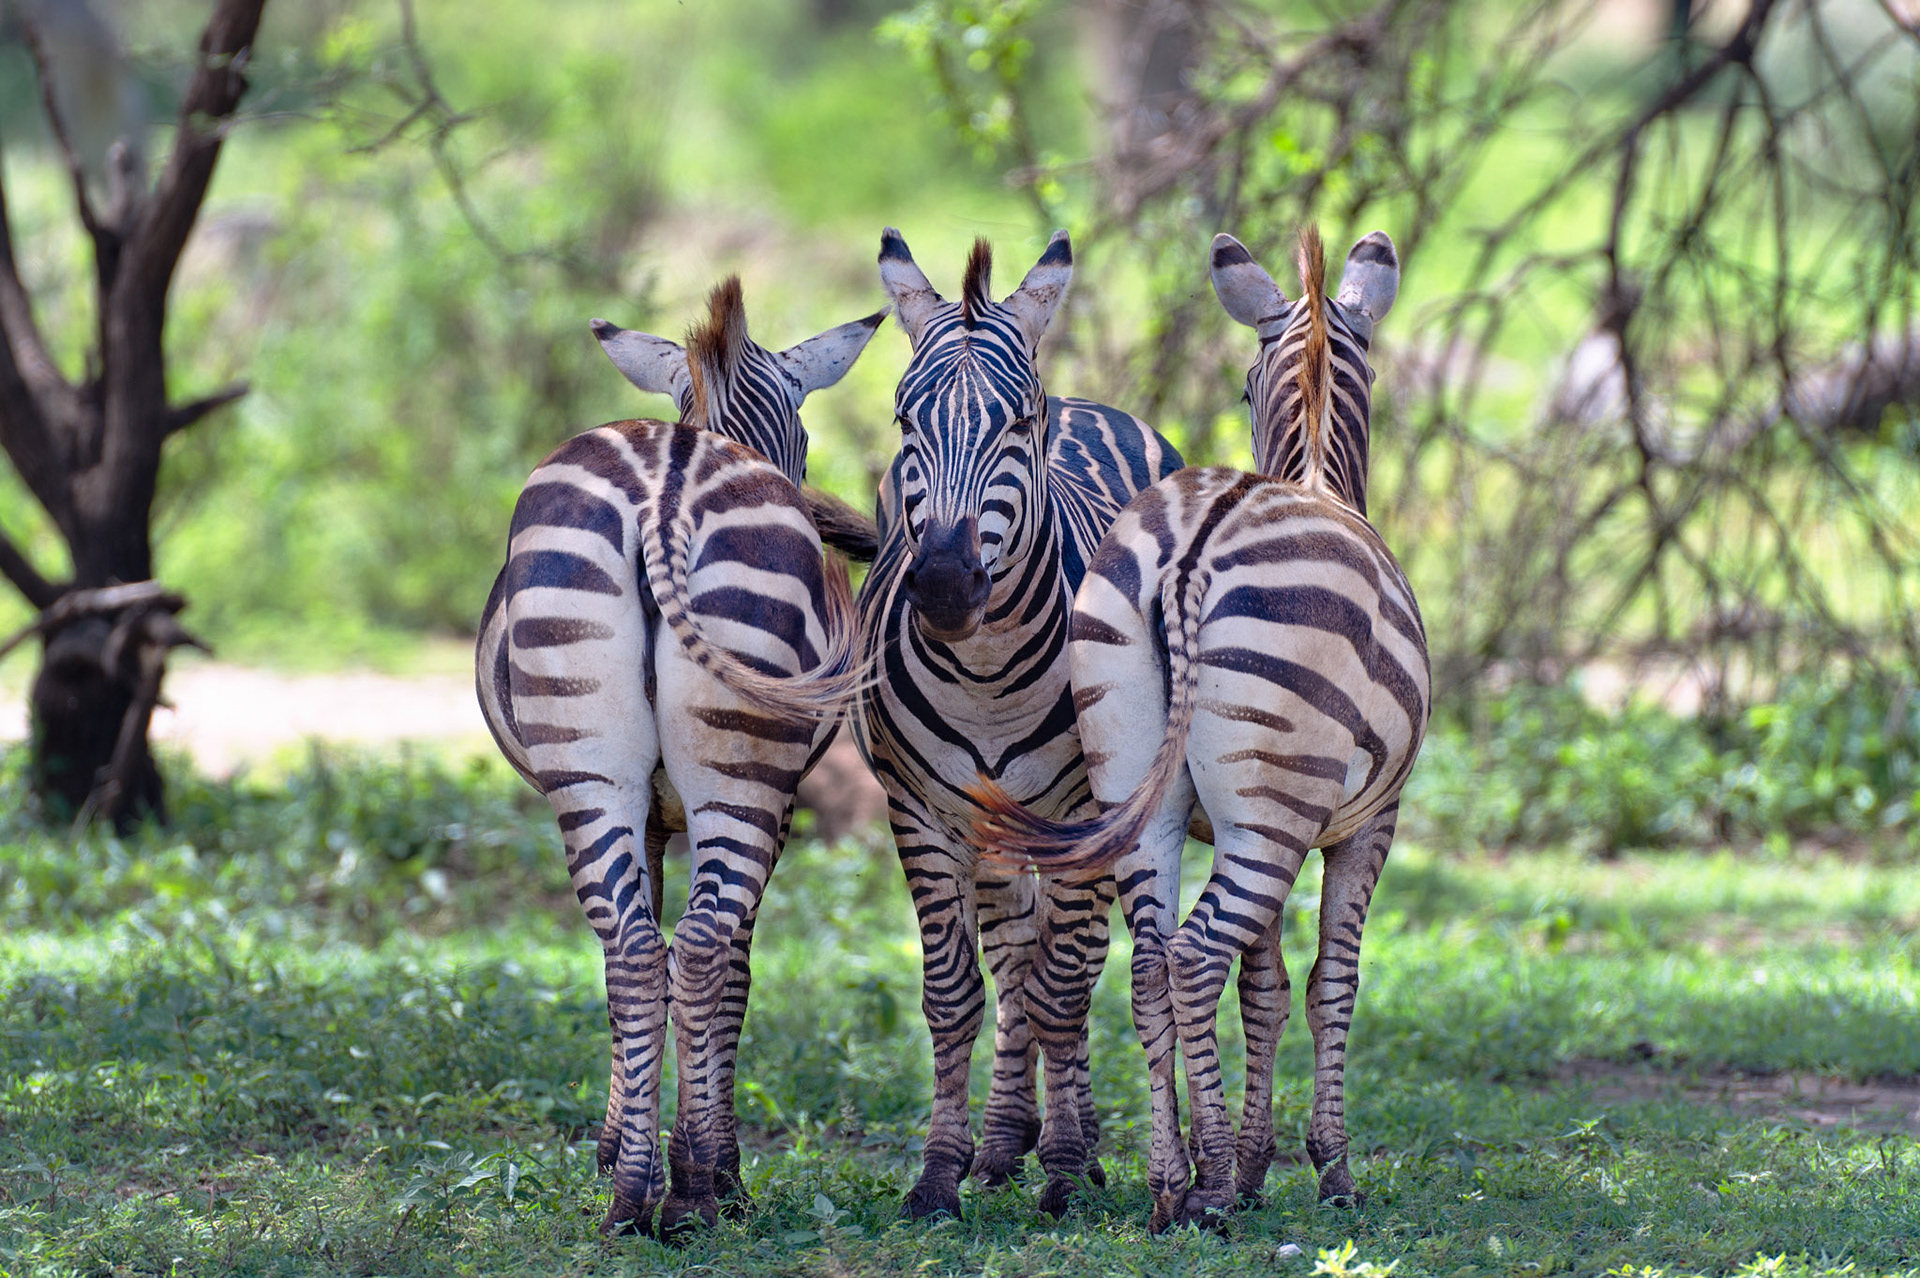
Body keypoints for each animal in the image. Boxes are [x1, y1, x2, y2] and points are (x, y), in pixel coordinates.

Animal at [474, 278, 883, 1237]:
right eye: (807, 437)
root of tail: (664, 492)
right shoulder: (769, 806)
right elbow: (733, 968)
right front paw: (703, 1158)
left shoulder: (655, 813)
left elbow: (635, 954)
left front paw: (618, 1145)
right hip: (743, 781)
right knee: (698, 948)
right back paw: (701, 1191)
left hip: (591, 768)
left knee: (633, 949)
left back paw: (634, 1197)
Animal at [854, 227, 1186, 1220]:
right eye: (903, 425)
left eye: (1016, 426)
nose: (943, 586)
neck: (987, 678)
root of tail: (1084, 401)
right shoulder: (920, 812)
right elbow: (958, 992)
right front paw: (940, 1172)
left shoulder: (1084, 811)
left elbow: (1066, 987)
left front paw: (1070, 1169)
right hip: (993, 828)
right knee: (1012, 959)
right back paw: (1004, 1142)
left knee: (1066, 964)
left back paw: (1071, 1144)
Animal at [968, 227, 1427, 1230]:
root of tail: (1190, 554)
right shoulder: (1367, 822)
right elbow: (1329, 986)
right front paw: (1323, 1168)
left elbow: (1265, 990)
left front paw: (1255, 1166)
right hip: (1270, 814)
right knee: (1192, 957)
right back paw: (1205, 1188)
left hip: (1140, 783)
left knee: (1151, 966)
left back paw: (1171, 1179)